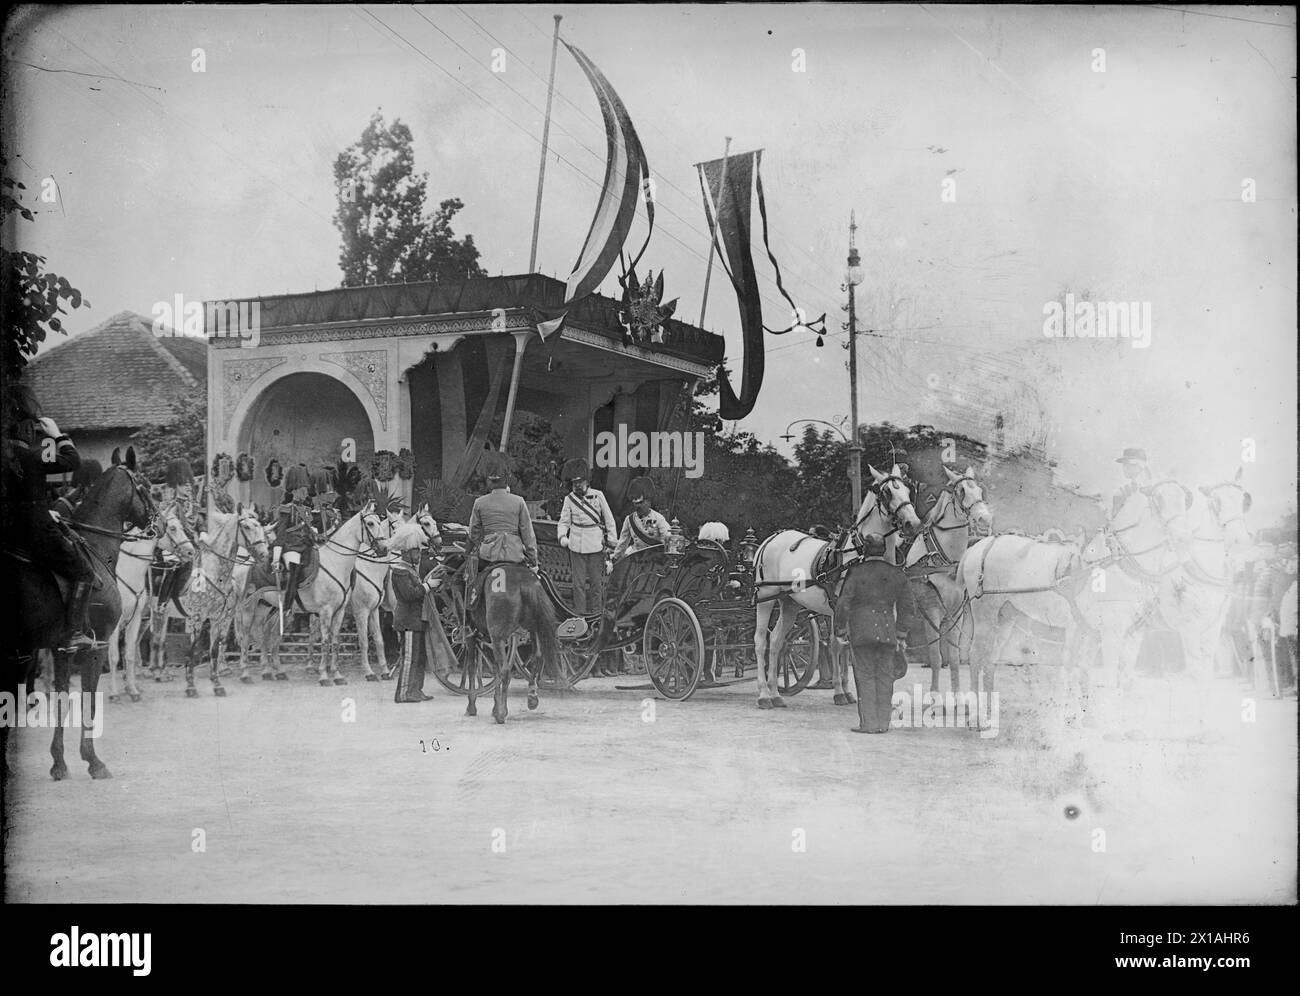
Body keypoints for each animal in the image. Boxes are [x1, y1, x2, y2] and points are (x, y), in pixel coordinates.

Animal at [2, 457, 153, 785]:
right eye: (146, 485)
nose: (156, 522)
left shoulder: (62, 649)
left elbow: (61, 697)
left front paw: (59, 762)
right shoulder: (97, 645)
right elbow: (90, 701)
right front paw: (93, 761)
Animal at [105, 499, 195, 702]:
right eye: (172, 527)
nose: (190, 552)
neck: (127, 572)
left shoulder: (137, 618)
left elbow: (130, 652)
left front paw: (133, 690)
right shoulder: (116, 623)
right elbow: (114, 655)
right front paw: (114, 692)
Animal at [754, 465, 925, 707]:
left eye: (908, 490)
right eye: (887, 493)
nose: (913, 524)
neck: (863, 553)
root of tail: (771, 539)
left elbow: (848, 645)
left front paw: (849, 691)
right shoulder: (843, 608)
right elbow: (841, 645)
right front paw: (841, 691)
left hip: (789, 603)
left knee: (778, 641)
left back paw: (776, 694)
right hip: (765, 598)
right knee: (761, 641)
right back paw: (763, 695)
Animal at [899, 465, 987, 696]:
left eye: (980, 491)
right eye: (962, 491)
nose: (985, 520)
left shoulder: (954, 614)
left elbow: (954, 659)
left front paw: (956, 695)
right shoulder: (931, 612)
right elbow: (935, 656)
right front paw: (934, 694)